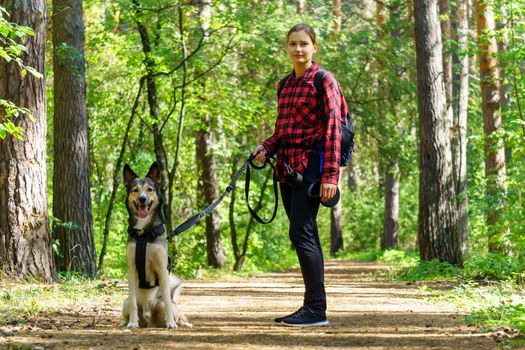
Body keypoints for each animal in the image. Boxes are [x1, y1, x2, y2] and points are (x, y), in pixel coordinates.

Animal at [122, 161, 191, 328]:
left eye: (150, 189)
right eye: (135, 190)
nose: (142, 199)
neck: (144, 235)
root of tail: (148, 317)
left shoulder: (162, 269)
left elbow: (167, 300)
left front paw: (170, 323)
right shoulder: (132, 269)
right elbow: (133, 302)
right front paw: (132, 323)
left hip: (166, 305)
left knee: (173, 308)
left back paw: (181, 323)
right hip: (124, 303)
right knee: (131, 304)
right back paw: (128, 322)